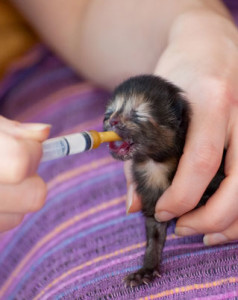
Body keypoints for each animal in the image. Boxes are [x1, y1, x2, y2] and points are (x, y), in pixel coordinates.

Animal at [103, 74, 224, 286]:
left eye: (137, 114)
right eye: (109, 113)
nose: (113, 121)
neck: (155, 164)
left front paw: (204, 199)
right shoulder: (153, 204)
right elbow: (154, 238)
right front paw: (146, 270)